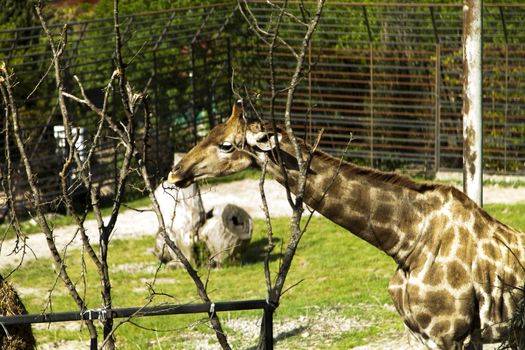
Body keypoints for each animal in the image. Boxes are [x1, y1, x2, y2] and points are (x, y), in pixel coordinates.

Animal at [168, 102, 524, 348]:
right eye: (208, 133)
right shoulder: (424, 333)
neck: (409, 242)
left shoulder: (449, 334)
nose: (175, 172)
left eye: (226, 145)